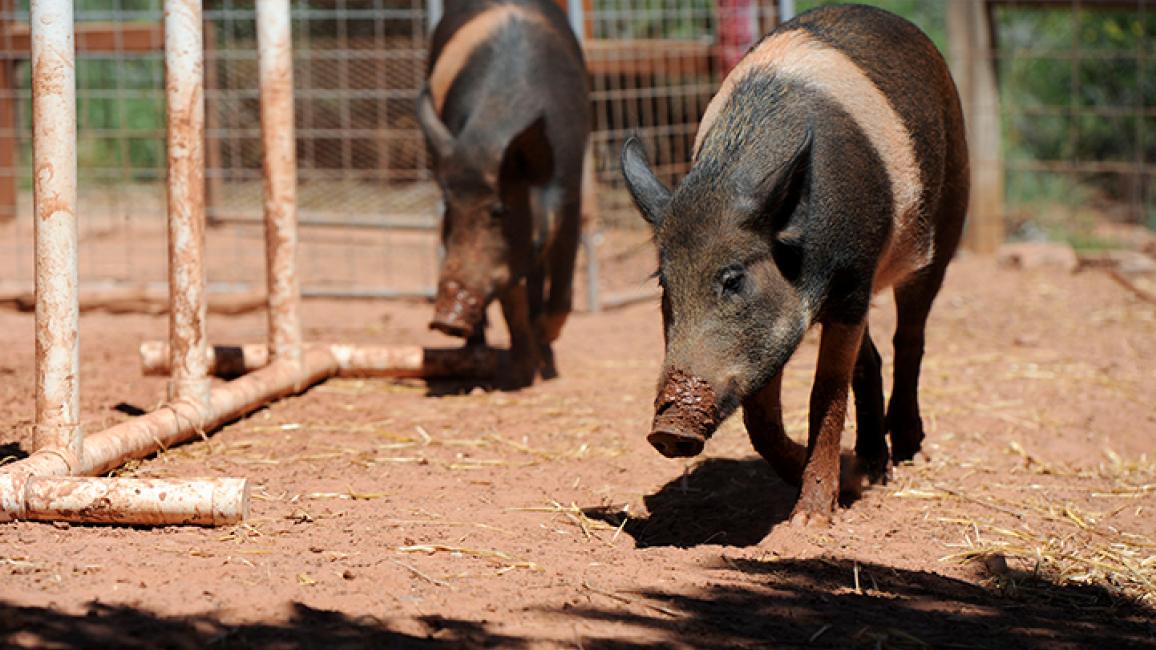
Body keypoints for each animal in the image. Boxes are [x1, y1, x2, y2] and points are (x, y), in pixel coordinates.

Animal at [417, 0, 590, 387]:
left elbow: (561, 291)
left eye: (499, 210)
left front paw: (543, 362)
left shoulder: (571, 190)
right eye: (449, 206)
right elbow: (512, 298)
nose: (445, 319)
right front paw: (520, 373)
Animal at [620, 5, 968, 523]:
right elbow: (761, 418)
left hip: (943, 227)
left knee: (910, 338)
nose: (669, 430)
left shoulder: (851, 283)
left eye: (733, 278)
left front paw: (810, 518)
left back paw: (908, 451)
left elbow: (826, 393)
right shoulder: (776, 333)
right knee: (872, 359)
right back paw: (873, 466)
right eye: (664, 284)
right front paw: (847, 480)